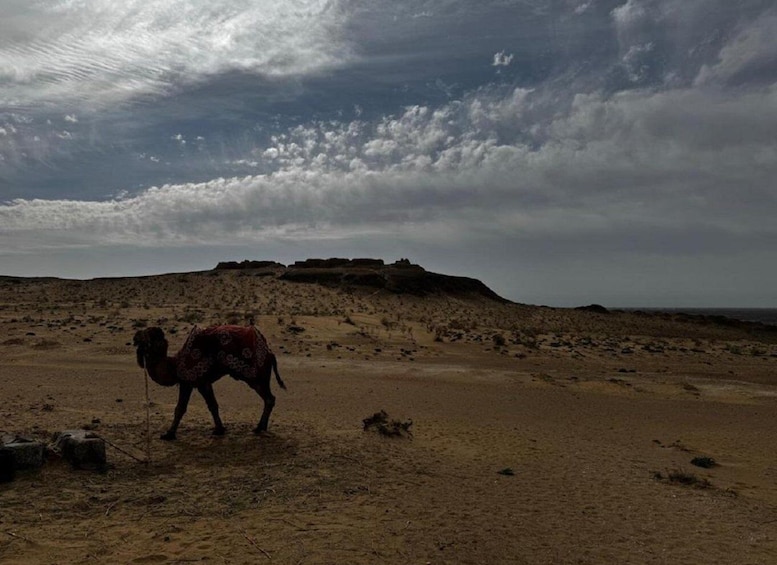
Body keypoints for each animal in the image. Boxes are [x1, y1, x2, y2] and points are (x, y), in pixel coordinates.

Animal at [133, 325, 286, 440]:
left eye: (147, 334)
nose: (135, 337)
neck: (174, 366)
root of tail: (270, 353)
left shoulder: (187, 381)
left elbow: (180, 408)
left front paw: (169, 434)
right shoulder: (203, 383)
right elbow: (213, 405)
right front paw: (219, 429)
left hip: (257, 378)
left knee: (269, 398)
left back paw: (259, 428)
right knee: (269, 399)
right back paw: (261, 427)